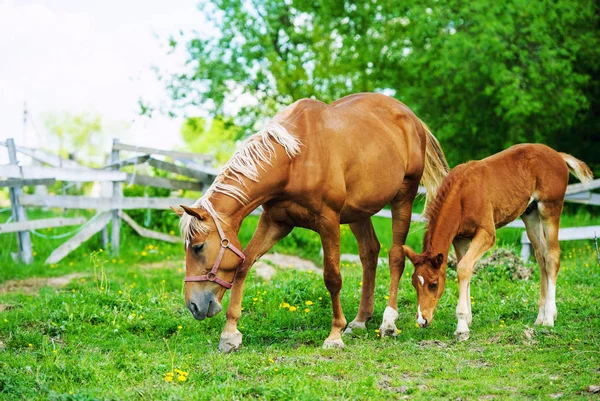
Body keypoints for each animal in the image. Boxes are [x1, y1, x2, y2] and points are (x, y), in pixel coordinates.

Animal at [171, 93, 448, 350]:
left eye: (198, 247)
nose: (194, 305)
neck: (294, 160)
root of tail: (412, 119)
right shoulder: (275, 222)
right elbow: (244, 264)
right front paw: (230, 333)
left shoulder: (328, 221)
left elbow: (332, 277)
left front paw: (335, 334)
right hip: (359, 211)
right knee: (369, 253)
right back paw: (360, 320)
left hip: (403, 197)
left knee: (395, 257)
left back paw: (388, 323)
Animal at [400, 142, 592, 340]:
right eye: (414, 283)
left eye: (433, 284)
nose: (422, 320)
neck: (462, 195)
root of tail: (558, 155)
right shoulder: (461, 239)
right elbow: (464, 269)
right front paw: (467, 320)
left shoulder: (487, 234)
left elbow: (463, 268)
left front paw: (461, 326)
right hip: (530, 214)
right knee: (541, 257)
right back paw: (540, 317)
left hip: (550, 207)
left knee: (552, 257)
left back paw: (549, 318)